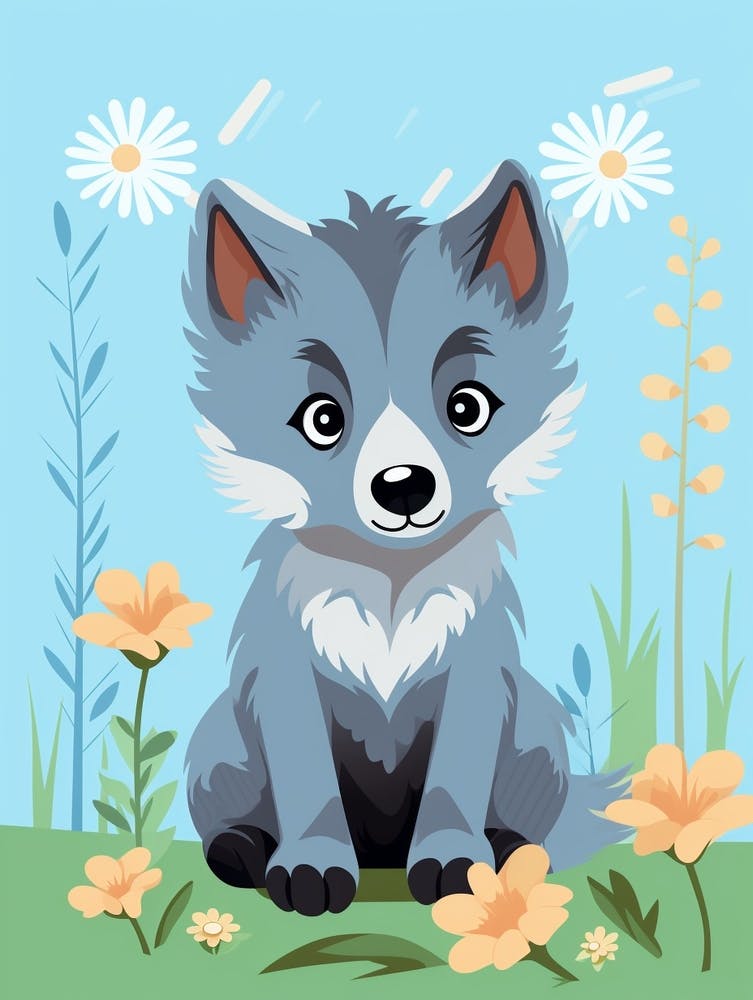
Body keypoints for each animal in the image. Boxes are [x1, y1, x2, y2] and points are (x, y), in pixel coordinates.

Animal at [183, 160, 624, 916]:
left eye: (467, 408)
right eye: (322, 418)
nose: (404, 487)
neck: (389, 583)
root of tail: (381, 846)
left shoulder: (477, 673)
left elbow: (454, 782)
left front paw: (456, 864)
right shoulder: (285, 678)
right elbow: (307, 784)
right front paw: (309, 868)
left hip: (538, 732)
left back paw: (509, 848)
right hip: (219, 743)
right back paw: (242, 849)